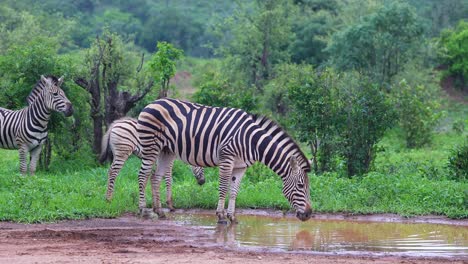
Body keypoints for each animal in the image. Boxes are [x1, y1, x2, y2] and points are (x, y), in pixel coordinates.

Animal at [135, 98, 310, 224]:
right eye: (301, 186)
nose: (309, 214)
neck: (251, 141)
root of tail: (152, 103)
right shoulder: (227, 158)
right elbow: (224, 187)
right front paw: (220, 216)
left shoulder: (241, 166)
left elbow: (234, 191)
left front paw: (232, 217)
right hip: (151, 147)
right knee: (143, 175)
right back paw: (144, 210)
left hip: (166, 151)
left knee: (155, 177)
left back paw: (159, 211)